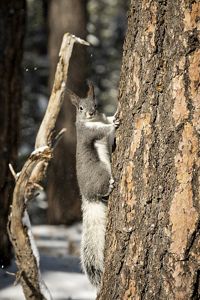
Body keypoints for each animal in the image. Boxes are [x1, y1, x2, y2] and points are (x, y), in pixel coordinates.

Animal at [67, 83, 119, 290]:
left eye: (95, 104)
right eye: (80, 108)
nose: (90, 113)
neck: (95, 120)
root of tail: (88, 197)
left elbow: (107, 121)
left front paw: (113, 116)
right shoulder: (90, 132)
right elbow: (103, 131)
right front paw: (114, 123)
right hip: (100, 173)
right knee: (103, 187)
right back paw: (110, 185)